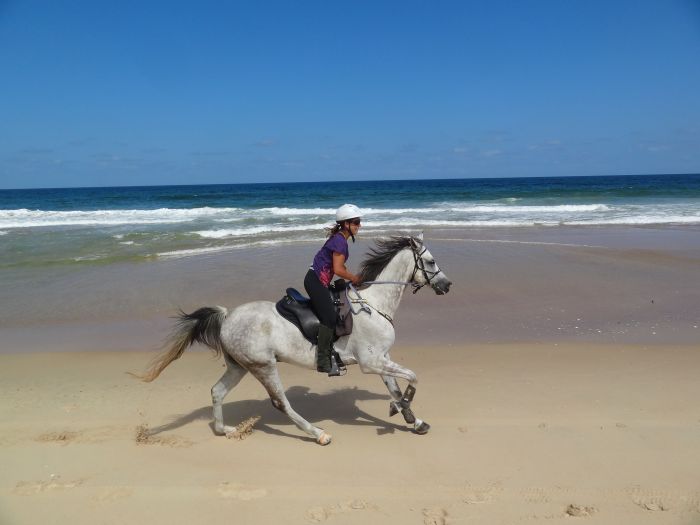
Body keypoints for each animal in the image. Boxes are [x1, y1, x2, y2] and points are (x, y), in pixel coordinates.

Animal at [135, 235, 454, 444]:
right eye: (430, 261)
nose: (447, 285)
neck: (373, 304)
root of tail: (227, 316)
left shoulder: (381, 359)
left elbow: (398, 386)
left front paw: (413, 420)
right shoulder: (370, 362)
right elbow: (412, 378)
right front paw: (397, 408)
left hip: (240, 366)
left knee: (217, 391)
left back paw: (226, 430)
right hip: (264, 366)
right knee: (280, 403)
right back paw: (318, 434)